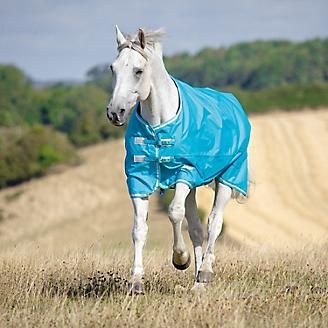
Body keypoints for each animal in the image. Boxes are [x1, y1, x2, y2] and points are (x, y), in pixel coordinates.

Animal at [106, 26, 250, 294]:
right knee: (195, 228)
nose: (114, 112)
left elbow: (174, 212)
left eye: (138, 70)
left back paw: (205, 272)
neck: (159, 124)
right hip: (194, 188)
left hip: (229, 176)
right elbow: (139, 229)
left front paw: (180, 259)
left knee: (214, 222)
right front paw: (136, 282)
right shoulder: (139, 178)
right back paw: (196, 283)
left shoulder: (186, 171)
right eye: (113, 68)